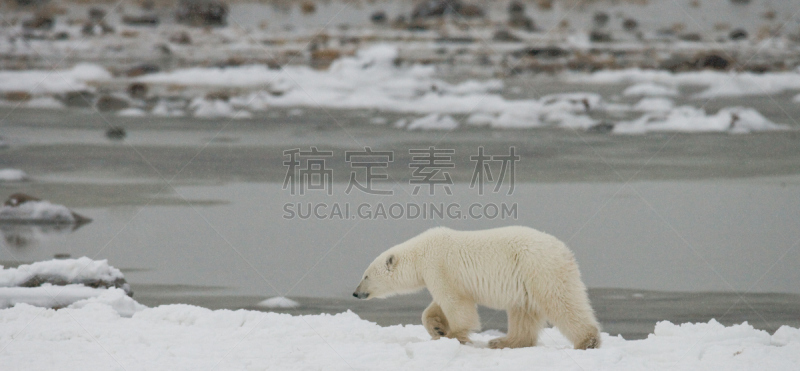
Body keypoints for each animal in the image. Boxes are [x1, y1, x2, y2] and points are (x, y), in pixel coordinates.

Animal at [352, 225, 600, 350]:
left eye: (365, 275)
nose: (355, 292)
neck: (420, 252)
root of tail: (565, 251)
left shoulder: (439, 267)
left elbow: (455, 303)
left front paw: (454, 336)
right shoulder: (441, 275)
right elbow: (439, 305)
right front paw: (437, 328)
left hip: (539, 269)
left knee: (562, 302)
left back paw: (588, 341)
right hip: (526, 281)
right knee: (523, 312)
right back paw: (504, 341)